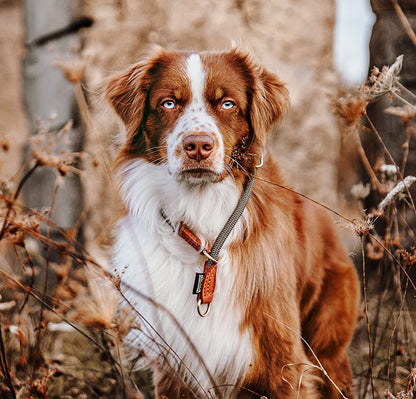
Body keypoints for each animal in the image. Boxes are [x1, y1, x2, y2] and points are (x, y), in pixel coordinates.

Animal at [105, 48, 360, 398]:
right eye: (168, 103)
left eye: (227, 104)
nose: (198, 146)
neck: (203, 217)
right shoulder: (174, 363)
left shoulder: (281, 359)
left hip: (328, 345)